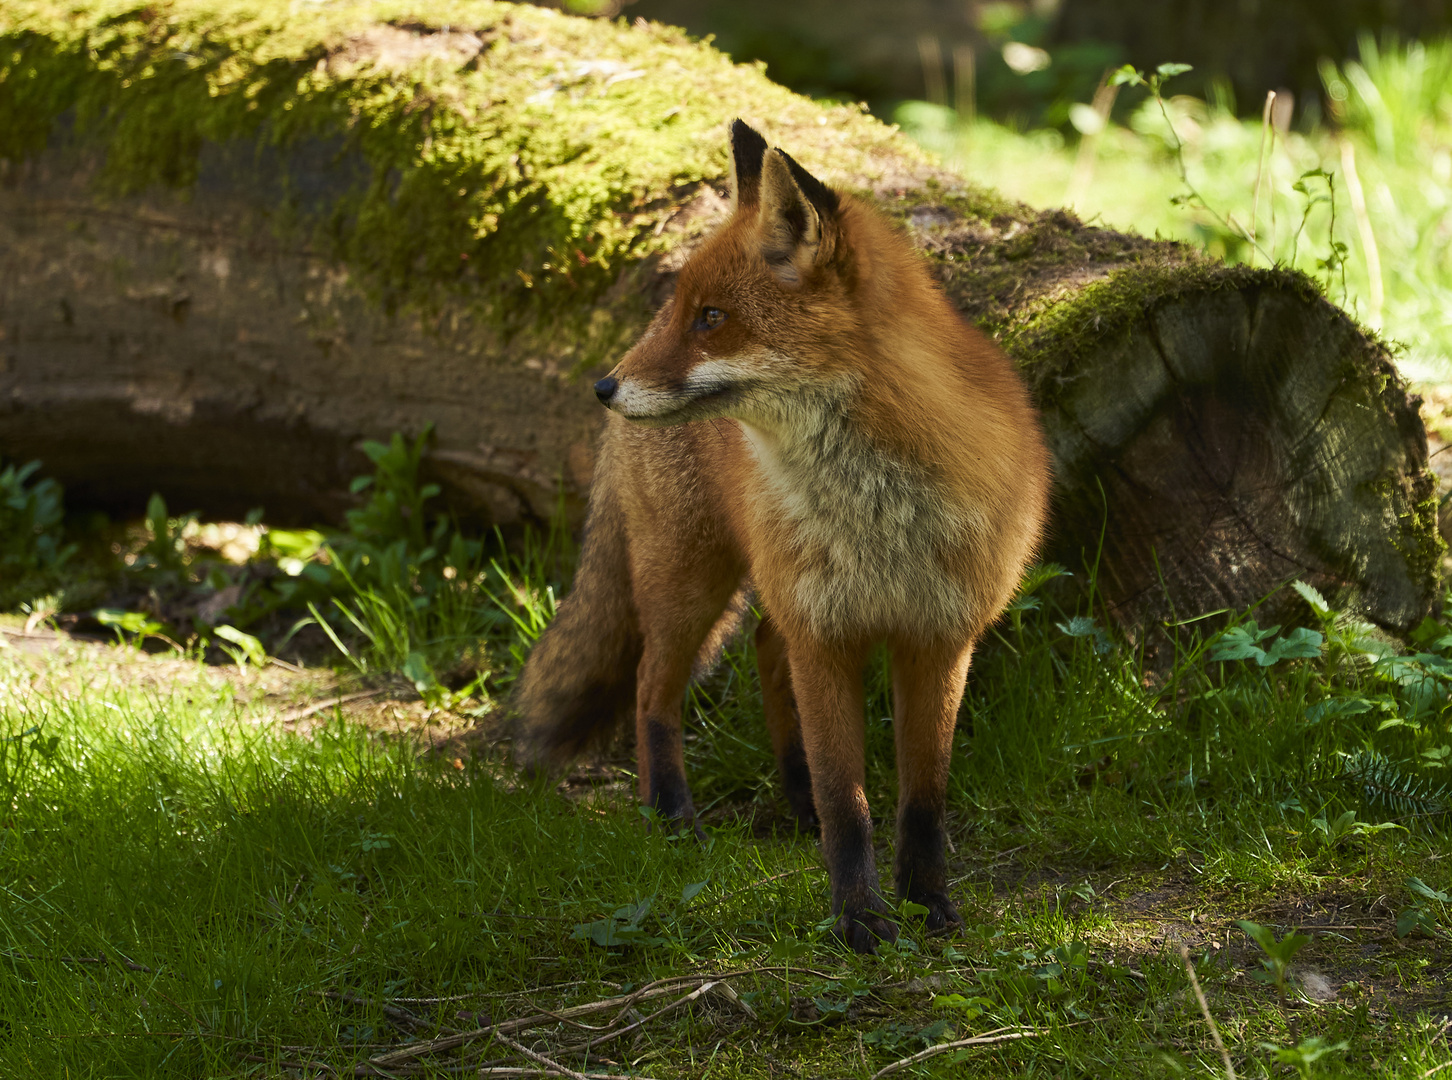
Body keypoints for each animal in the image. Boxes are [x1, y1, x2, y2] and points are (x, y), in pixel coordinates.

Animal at [516, 120, 1051, 952]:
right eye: (688, 311)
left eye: (710, 319)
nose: (603, 388)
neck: (878, 511)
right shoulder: (825, 633)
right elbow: (848, 800)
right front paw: (858, 917)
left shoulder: (938, 636)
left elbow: (923, 798)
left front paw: (927, 900)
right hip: (691, 584)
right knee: (649, 690)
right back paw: (672, 816)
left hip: (763, 590)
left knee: (765, 651)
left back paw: (790, 799)